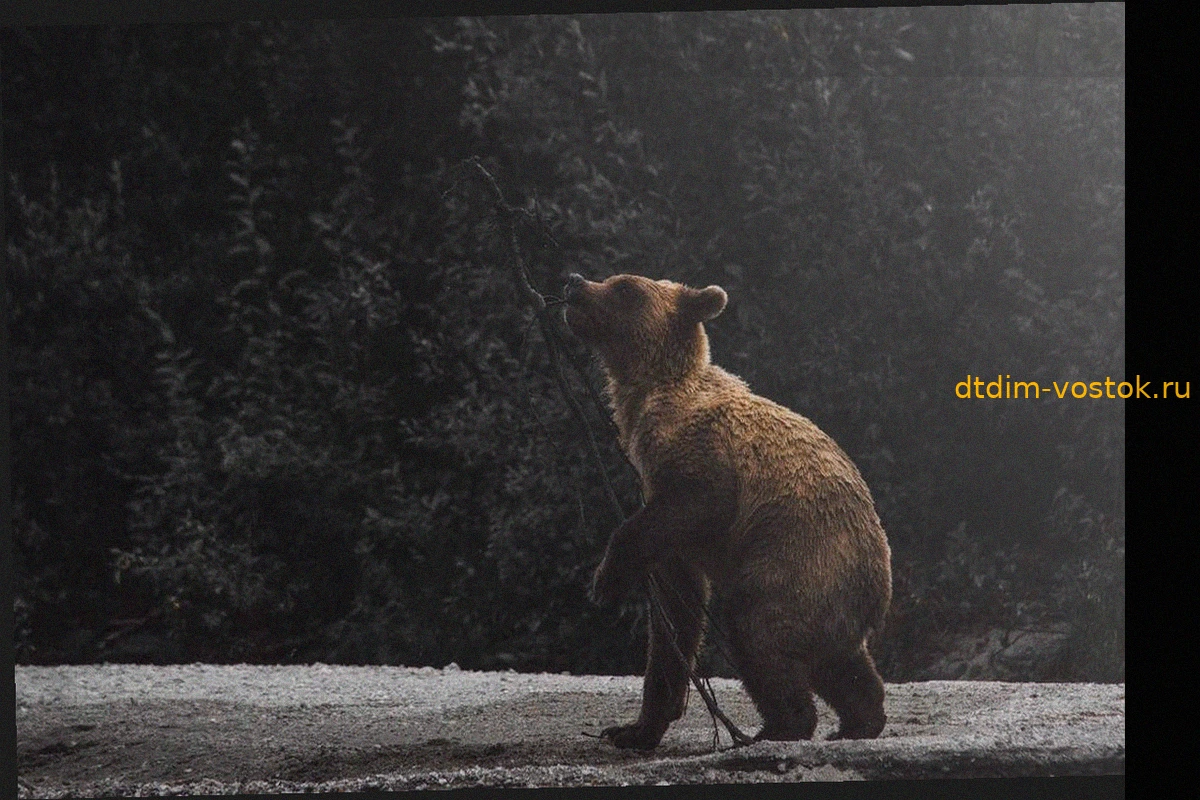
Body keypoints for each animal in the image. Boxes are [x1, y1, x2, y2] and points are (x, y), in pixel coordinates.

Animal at [562, 271, 892, 750]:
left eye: (624, 286)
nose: (574, 282)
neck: (646, 403)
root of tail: (879, 590)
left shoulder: (701, 461)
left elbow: (696, 503)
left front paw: (605, 580)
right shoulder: (663, 521)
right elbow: (674, 618)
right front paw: (633, 728)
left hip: (798, 561)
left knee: (758, 630)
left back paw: (779, 726)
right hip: (829, 595)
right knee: (839, 662)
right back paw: (858, 721)